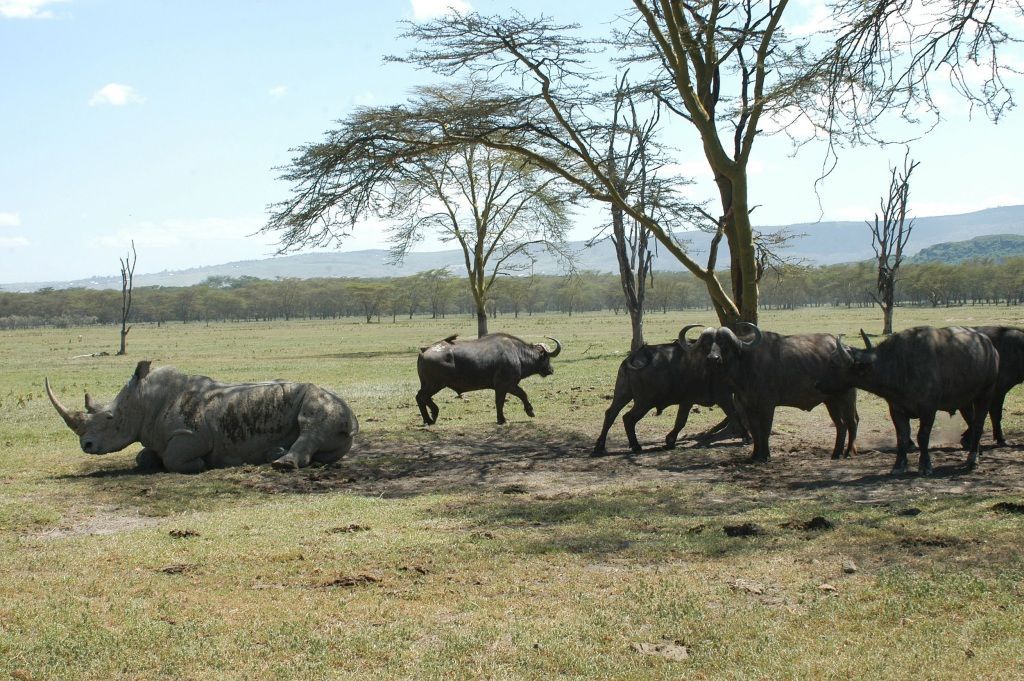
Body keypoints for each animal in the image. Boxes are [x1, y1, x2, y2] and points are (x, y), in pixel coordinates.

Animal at [47, 360, 360, 473]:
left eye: (110, 417)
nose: (86, 446)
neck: (145, 401)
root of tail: (354, 418)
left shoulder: (192, 435)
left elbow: (174, 459)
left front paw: (201, 465)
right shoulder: (156, 437)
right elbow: (143, 456)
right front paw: (149, 462)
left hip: (325, 400)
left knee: (311, 423)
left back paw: (281, 464)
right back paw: (274, 454)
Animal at [413, 329, 561, 421]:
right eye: (547, 358)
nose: (551, 370)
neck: (517, 354)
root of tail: (425, 350)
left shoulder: (508, 385)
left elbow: (518, 395)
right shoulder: (504, 385)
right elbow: (507, 399)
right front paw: (503, 419)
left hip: (429, 384)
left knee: (421, 398)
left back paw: (430, 417)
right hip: (435, 384)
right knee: (421, 397)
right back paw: (432, 416)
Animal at [593, 325, 745, 454]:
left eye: (723, 344)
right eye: (707, 344)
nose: (714, 358)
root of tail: (635, 357)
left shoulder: (687, 402)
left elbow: (680, 422)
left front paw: (670, 441)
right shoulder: (722, 397)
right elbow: (734, 414)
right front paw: (746, 436)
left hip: (623, 394)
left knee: (611, 414)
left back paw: (600, 446)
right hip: (644, 402)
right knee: (628, 418)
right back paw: (635, 446)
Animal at [704, 323, 856, 462]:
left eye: (724, 344)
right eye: (709, 344)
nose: (713, 358)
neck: (746, 364)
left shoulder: (767, 405)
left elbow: (765, 430)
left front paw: (765, 455)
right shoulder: (748, 406)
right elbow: (754, 430)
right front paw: (755, 455)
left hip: (846, 397)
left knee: (852, 423)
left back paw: (847, 453)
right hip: (831, 401)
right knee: (841, 425)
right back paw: (836, 453)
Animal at [819, 327, 995, 475]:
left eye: (833, 364)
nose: (817, 384)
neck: (899, 365)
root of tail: (989, 345)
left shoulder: (928, 409)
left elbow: (922, 437)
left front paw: (925, 466)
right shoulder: (896, 410)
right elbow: (901, 437)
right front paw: (898, 465)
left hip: (985, 395)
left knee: (978, 426)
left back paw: (973, 460)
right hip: (966, 403)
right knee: (972, 424)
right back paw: (977, 451)